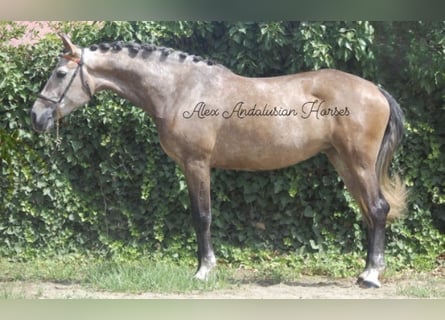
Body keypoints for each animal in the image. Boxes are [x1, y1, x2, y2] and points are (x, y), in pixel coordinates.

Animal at [31, 33, 406, 288]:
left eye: (60, 74)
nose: (36, 116)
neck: (181, 88)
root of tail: (375, 89)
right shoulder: (189, 166)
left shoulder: (196, 163)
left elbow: (202, 217)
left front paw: (203, 270)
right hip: (342, 160)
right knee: (368, 211)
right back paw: (365, 271)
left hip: (358, 162)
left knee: (377, 209)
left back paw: (371, 275)